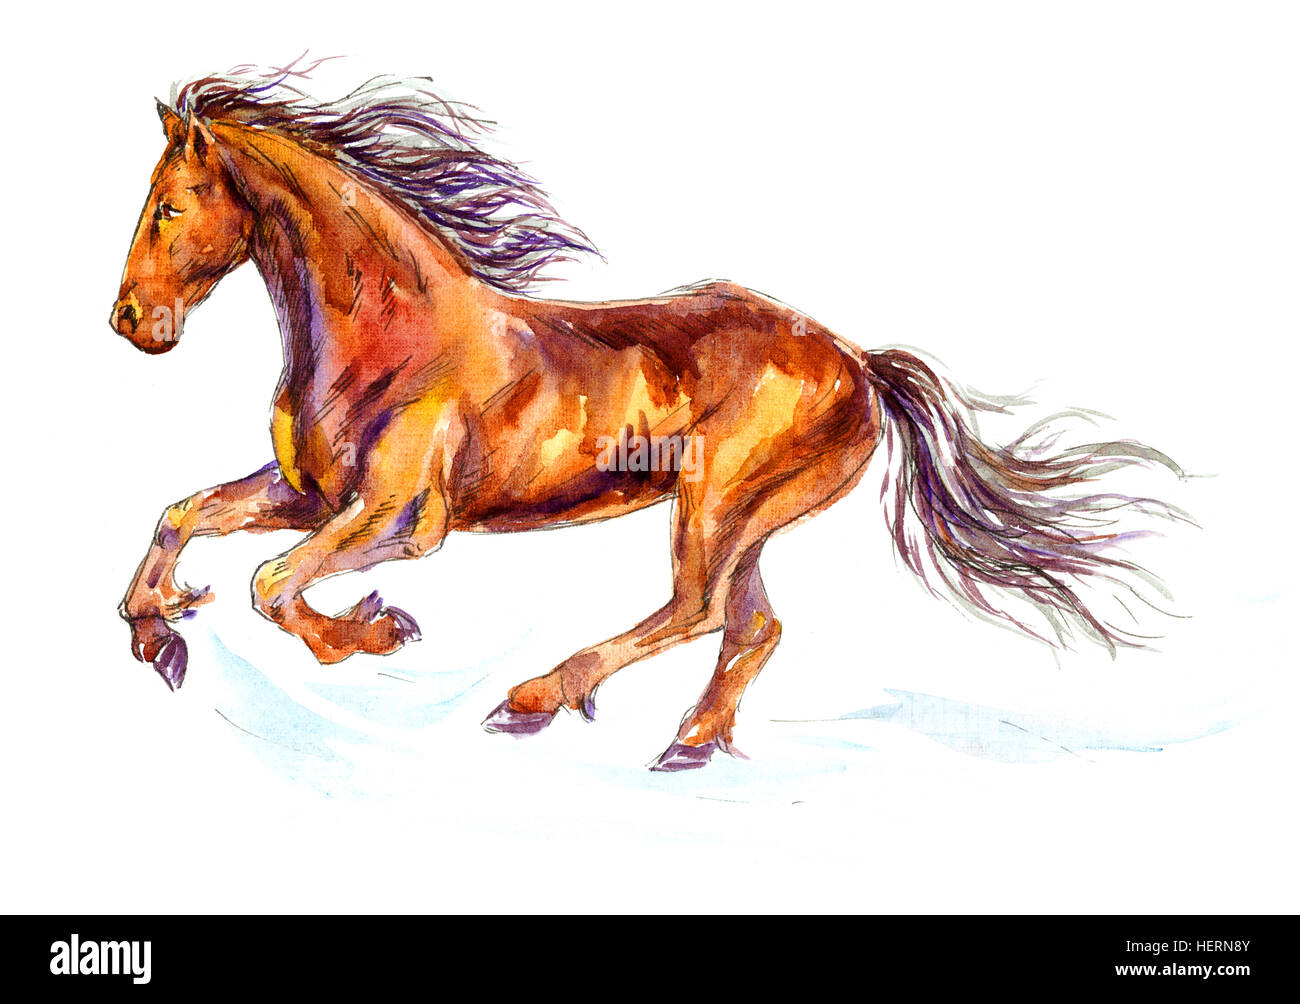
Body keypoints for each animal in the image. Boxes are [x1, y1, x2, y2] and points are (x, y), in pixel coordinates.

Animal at [111, 62, 1184, 771]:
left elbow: (274, 584)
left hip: (716, 504)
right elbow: (186, 517)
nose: (127, 321)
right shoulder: (306, 493)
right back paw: (690, 743)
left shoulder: (403, 521)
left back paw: (538, 696)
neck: (389, 332)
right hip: (748, 518)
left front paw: (374, 632)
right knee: (752, 626)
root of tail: (858, 362)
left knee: (700, 609)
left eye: (169, 205)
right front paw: (157, 630)